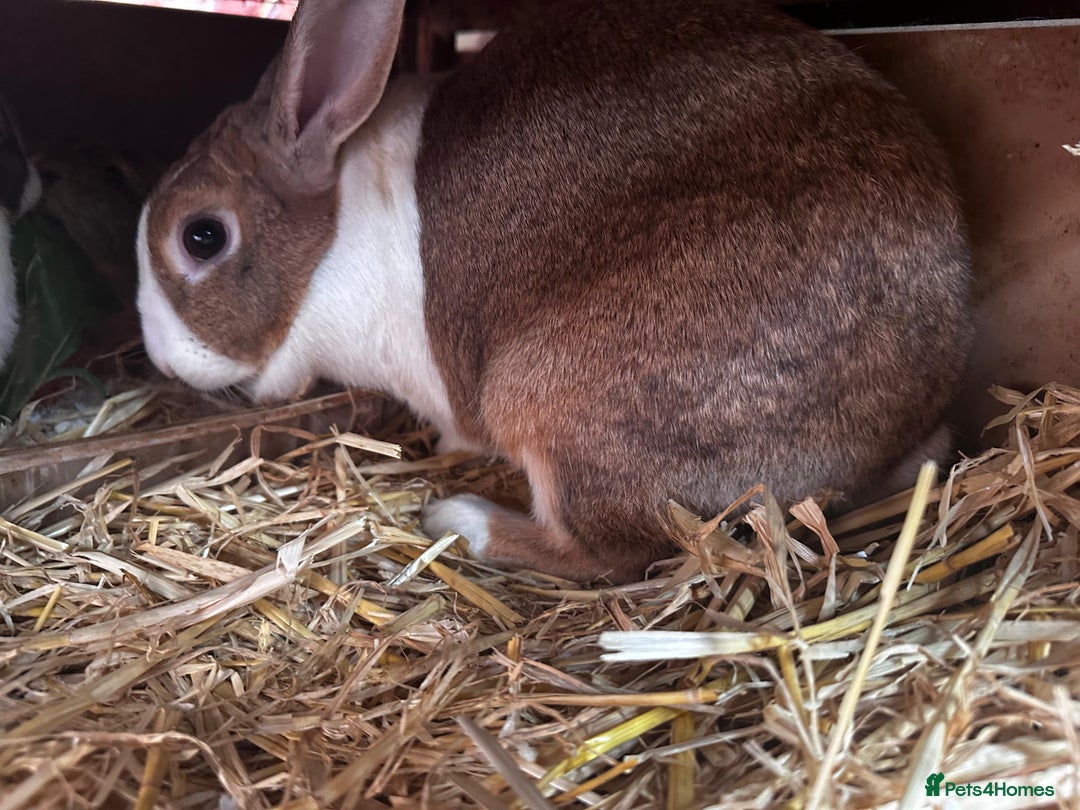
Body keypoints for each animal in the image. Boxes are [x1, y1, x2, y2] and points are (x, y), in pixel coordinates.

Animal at [136, 0, 973, 583]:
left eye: (201, 237)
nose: (165, 361)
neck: (332, 237)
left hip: (551, 402)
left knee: (613, 552)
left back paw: (461, 518)